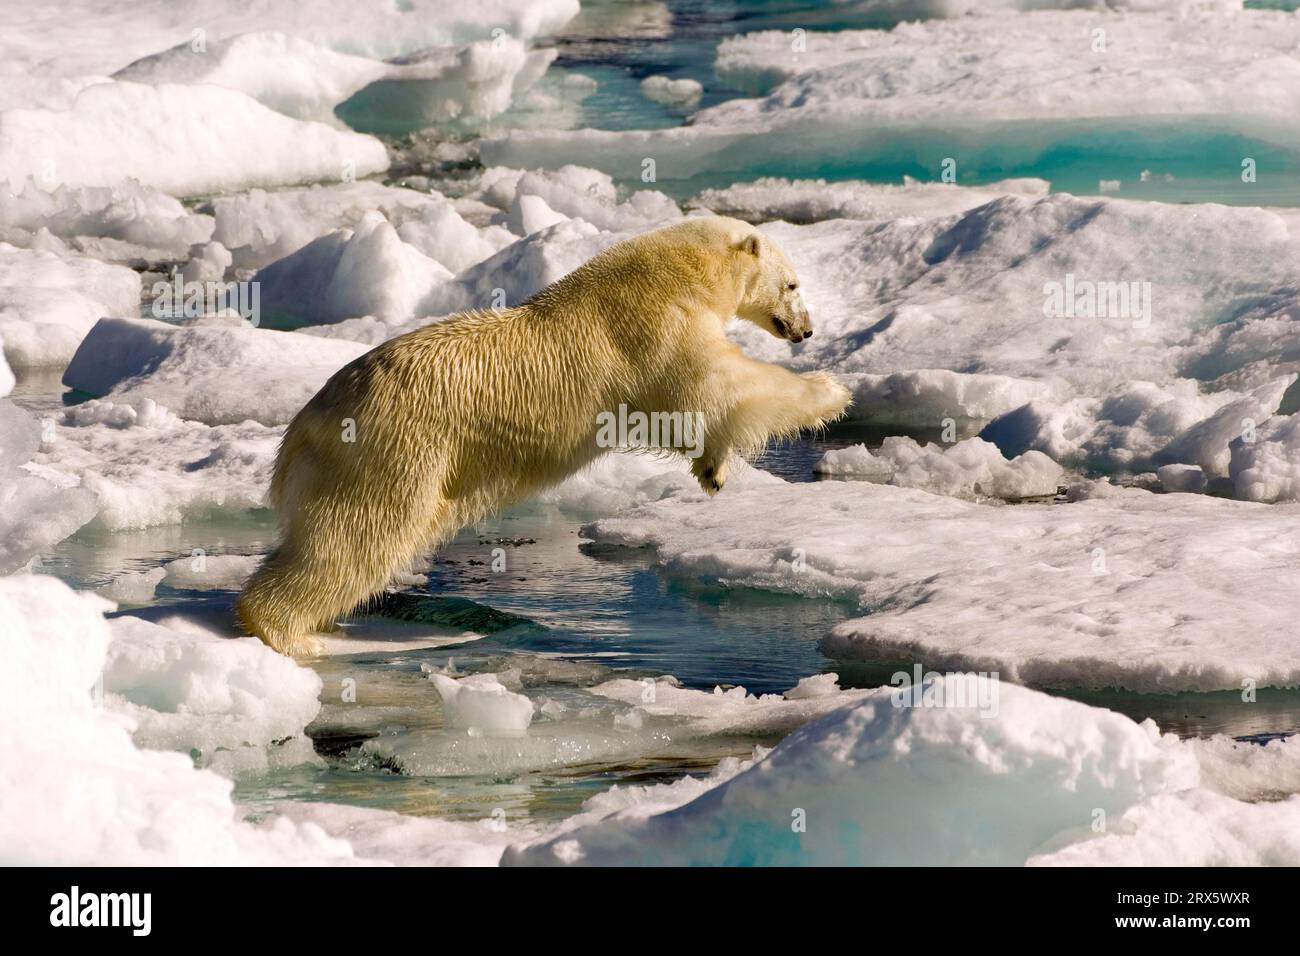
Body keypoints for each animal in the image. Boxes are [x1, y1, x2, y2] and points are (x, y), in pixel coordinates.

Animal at [236, 217, 852, 655]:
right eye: (792, 283)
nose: (806, 331)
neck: (677, 268)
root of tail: (299, 433)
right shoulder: (655, 326)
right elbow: (717, 384)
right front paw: (830, 389)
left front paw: (713, 470)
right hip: (392, 450)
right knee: (357, 536)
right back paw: (295, 633)